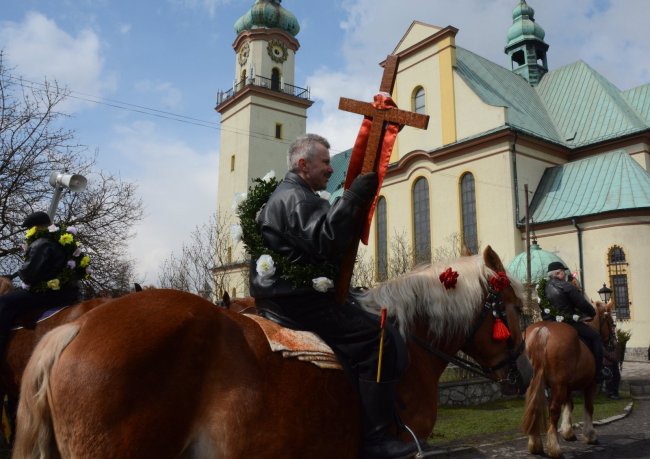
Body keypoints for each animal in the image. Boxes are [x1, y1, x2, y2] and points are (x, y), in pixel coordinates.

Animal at [520, 298, 612, 456]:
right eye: (611, 321)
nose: (613, 341)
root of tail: (543, 330)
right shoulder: (590, 384)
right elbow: (589, 407)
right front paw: (590, 435)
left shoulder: (567, 386)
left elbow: (569, 404)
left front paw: (568, 432)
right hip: (559, 385)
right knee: (553, 410)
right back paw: (554, 448)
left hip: (537, 383)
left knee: (534, 407)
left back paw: (535, 444)